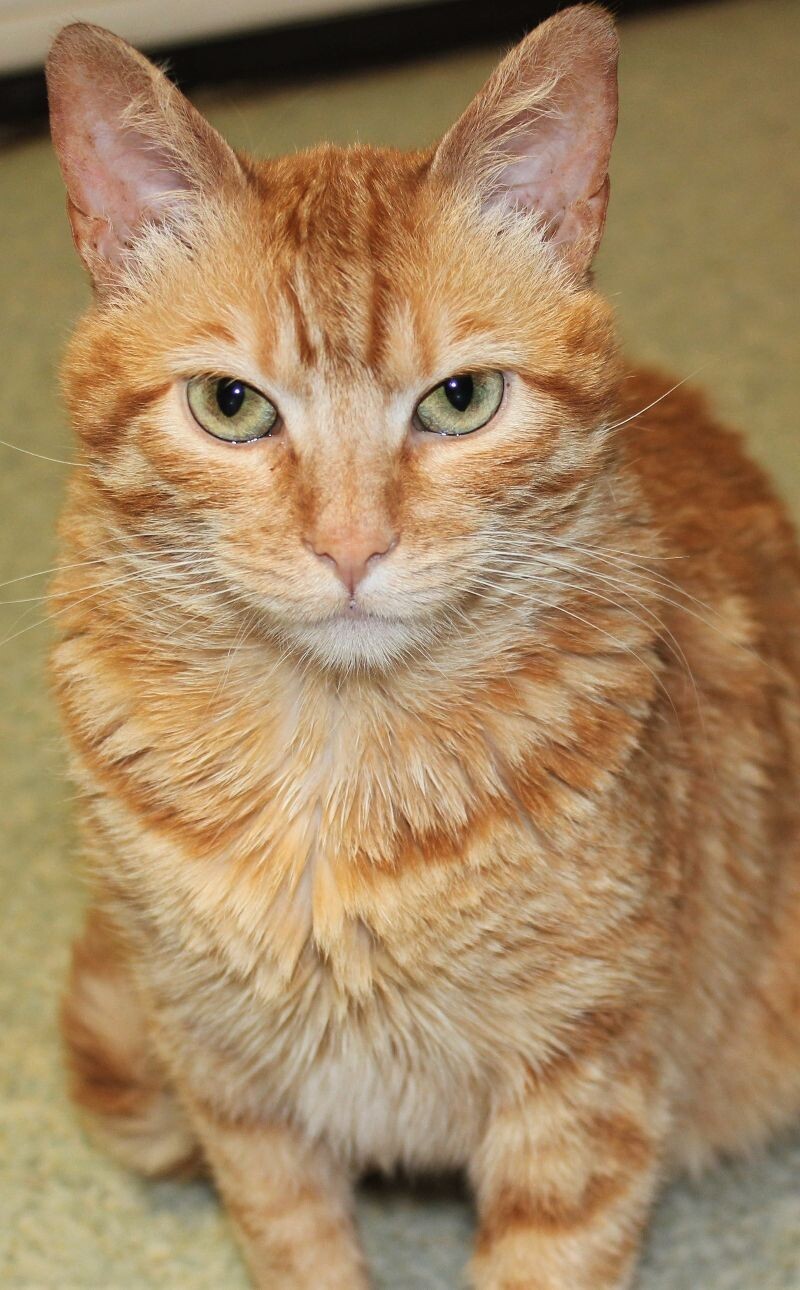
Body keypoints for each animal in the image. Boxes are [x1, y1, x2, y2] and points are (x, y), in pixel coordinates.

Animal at [46, 10, 800, 1290]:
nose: (352, 545)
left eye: (460, 400)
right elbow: (296, 1243)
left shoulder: (580, 1087)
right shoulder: (228, 1087)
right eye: (231, 407)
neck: (330, 776)